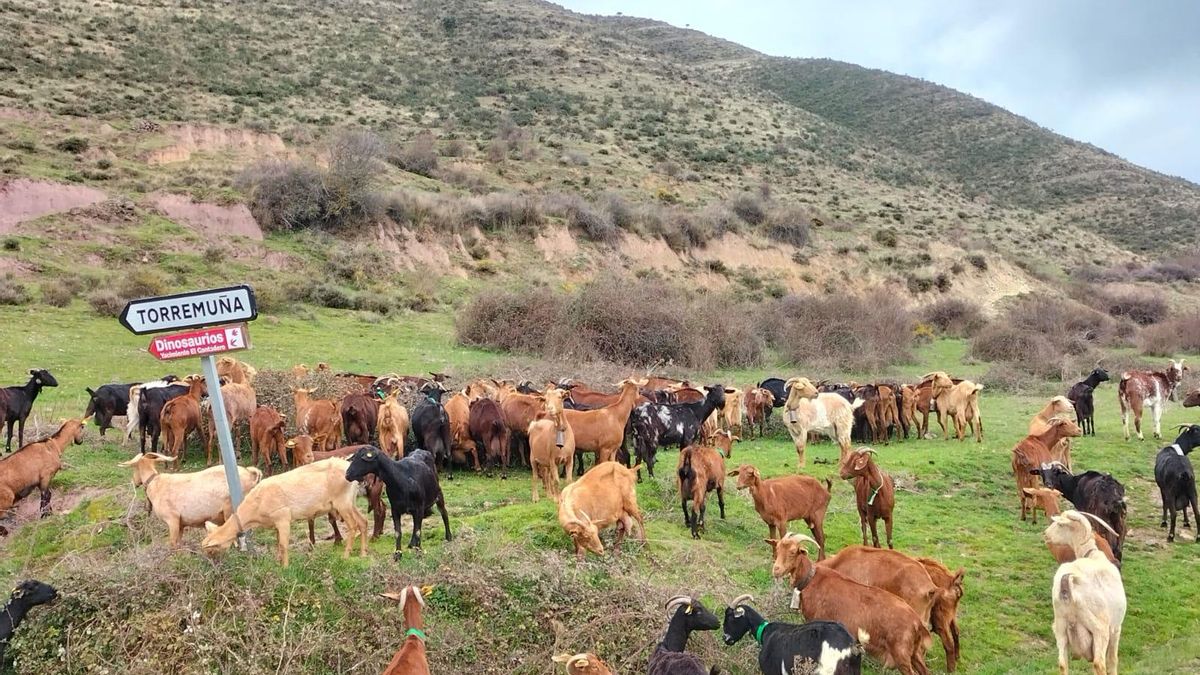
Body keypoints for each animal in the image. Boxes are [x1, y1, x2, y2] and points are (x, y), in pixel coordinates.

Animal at [119, 452, 262, 546]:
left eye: (134, 467)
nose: (134, 481)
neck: (155, 483)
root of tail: (250, 474)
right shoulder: (181, 524)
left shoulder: (172, 520)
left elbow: (172, 545)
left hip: (230, 510)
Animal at [201, 457, 367, 567]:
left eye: (211, 551)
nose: (212, 567)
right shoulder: (275, 523)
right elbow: (277, 544)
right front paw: (277, 562)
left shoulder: (283, 517)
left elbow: (283, 545)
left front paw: (285, 567)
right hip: (350, 501)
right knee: (363, 521)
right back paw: (363, 553)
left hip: (342, 502)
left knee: (353, 526)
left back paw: (346, 556)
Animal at [768, 533, 931, 675]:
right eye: (777, 549)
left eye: (793, 552)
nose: (776, 570)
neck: (811, 579)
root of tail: (916, 622)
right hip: (914, 652)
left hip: (901, 654)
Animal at [1043, 511, 1126, 674]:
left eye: (1060, 524)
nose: (1046, 534)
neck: (1092, 554)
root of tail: (1068, 581)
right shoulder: (1116, 628)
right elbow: (1113, 660)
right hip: (1099, 629)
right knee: (1099, 664)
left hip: (1060, 627)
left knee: (1062, 664)